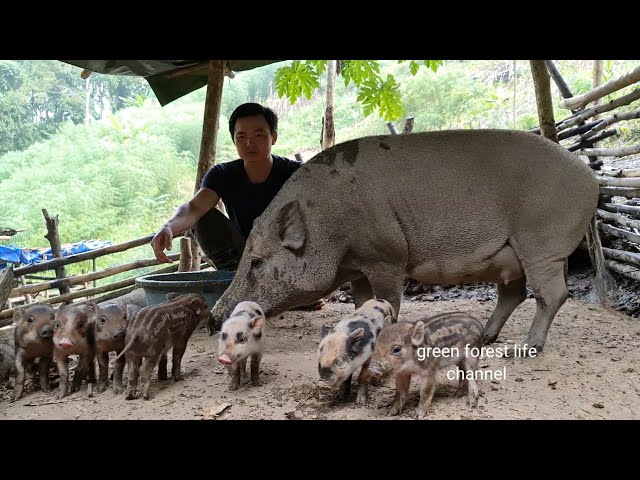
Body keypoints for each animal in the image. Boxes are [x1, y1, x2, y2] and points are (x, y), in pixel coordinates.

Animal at [210, 128, 608, 352]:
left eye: (256, 262)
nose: (215, 318)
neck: (331, 224)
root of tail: (591, 177)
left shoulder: (386, 256)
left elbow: (388, 300)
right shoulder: (357, 268)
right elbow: (361, 302)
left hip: (542, 243)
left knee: (552, 294)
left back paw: (526, 348)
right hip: (509, 257)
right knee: (513, 294)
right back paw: (484, 338)